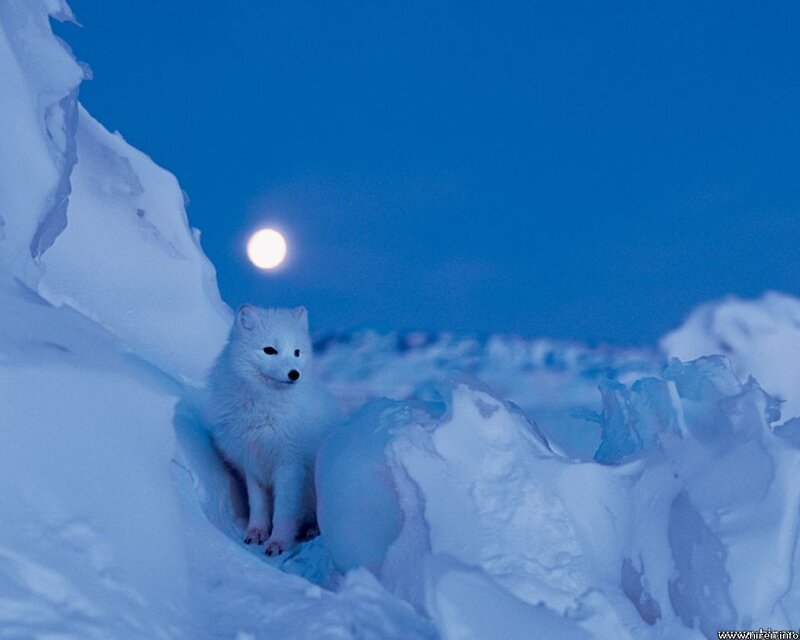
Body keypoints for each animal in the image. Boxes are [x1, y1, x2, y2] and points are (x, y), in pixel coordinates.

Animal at [205, 304, 336, 556]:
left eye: (297, 352)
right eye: (270, 350)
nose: (294, 373)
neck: (264, 409)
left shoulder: (290, 465)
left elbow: (283, 511)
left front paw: (278, 543)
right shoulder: (251, 462)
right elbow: (258, 505)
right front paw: (255, 533)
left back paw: (312, 530)